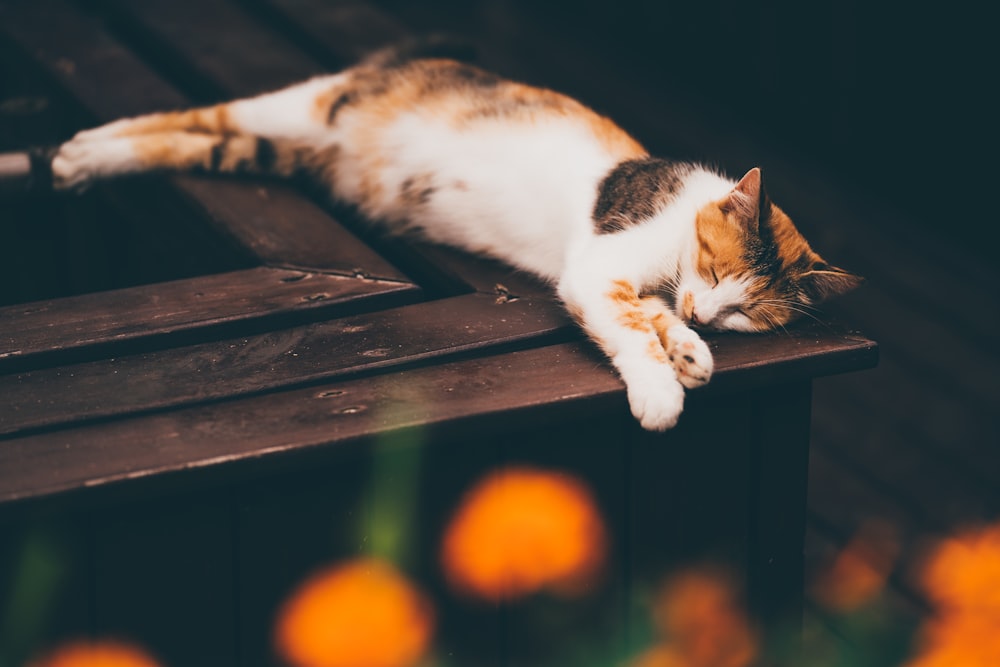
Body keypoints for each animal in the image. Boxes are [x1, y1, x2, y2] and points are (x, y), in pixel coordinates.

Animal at [47, 48, 860, 434]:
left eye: (747, 312)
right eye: (719, 269)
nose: (708, 314)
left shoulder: (627, 280)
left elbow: (653, 316)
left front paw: (689, 352)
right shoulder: (599, 267)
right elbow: (630, 324)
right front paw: (660, 389)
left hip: (269, 153)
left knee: (196, 139)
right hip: (296, 109)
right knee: (192, 114)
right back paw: (81, 152)